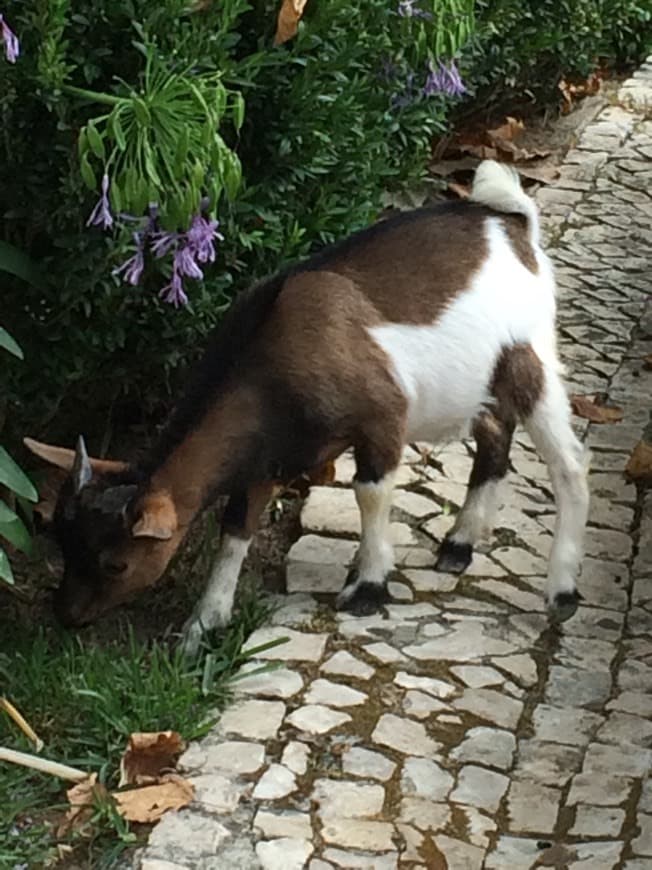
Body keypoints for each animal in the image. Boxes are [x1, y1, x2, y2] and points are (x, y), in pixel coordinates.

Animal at [25, 162, 588, 656]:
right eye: (63, 542)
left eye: (115, 563)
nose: (66, 616)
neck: (272, 357)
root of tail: (510, 222)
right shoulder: (264, 455)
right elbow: (236, 525)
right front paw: (201, 627)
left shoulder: (382, 417)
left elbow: (369, 492)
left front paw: (367, 588)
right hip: (477, 381)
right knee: (495, 433)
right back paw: (458, 546)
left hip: (528, 353)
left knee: (569, 463)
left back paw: (561, 590)